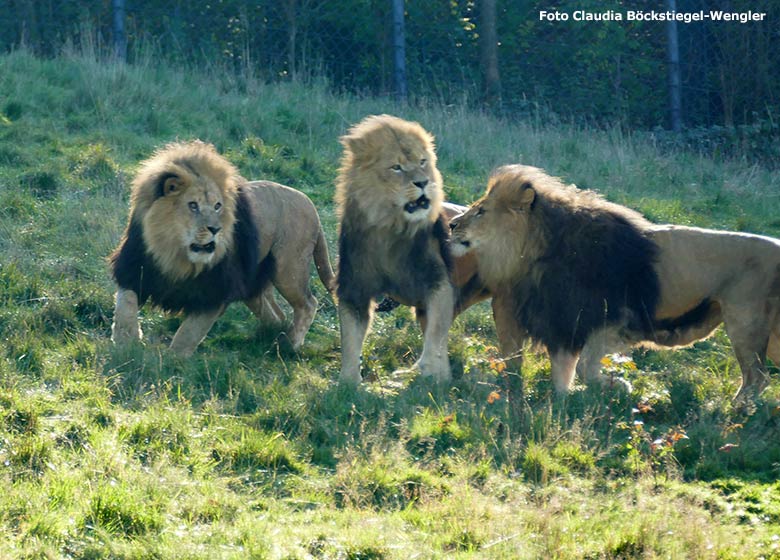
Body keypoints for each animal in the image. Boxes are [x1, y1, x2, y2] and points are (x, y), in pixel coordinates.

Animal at [108, 139, 334, 354]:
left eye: (218, 206)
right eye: (193, 205)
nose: (216, 229)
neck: (173, 253)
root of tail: (311, 205)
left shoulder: (216, 288)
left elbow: (190, 332)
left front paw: (173, 359)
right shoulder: (134, 267)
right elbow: (125, 306)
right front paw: (125, 344)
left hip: (288, 269)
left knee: (308, 303)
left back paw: (289, 344)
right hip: (256, 281)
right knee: (275, 314)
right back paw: (270, 338)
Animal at [336, 114, 458, 384]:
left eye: (422, 162)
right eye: (396, 167)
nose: (423, 182)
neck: (389, 227)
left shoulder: (438, 281)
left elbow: (436, 334)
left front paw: (431, 371)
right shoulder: (355, 288)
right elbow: (350, 339)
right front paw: (347, 384)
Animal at [450, 164, 780, 404]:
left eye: (481, 211)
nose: (452, 224)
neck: (534, 249)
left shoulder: (606, 319)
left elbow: (584, 367)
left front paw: (618, 386)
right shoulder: (562, 322)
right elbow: (565, 371)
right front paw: (567, 398)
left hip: (745, 323)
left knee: (757, 377)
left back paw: (735, 411)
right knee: (759, 376)